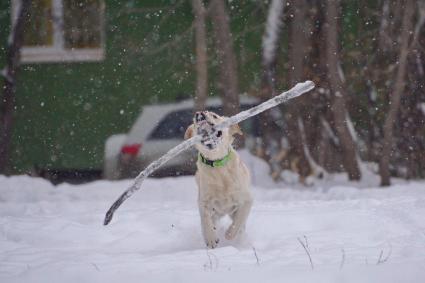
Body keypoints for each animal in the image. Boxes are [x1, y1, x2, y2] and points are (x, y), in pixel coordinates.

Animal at [183, 111, 250, 248]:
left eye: (214, 115)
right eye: (194, 122)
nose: (199, 113)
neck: (217, 166)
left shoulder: (247, 200)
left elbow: (240, 219)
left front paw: (230, 234)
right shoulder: (203, 201)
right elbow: (205, 219)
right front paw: (210, 238)